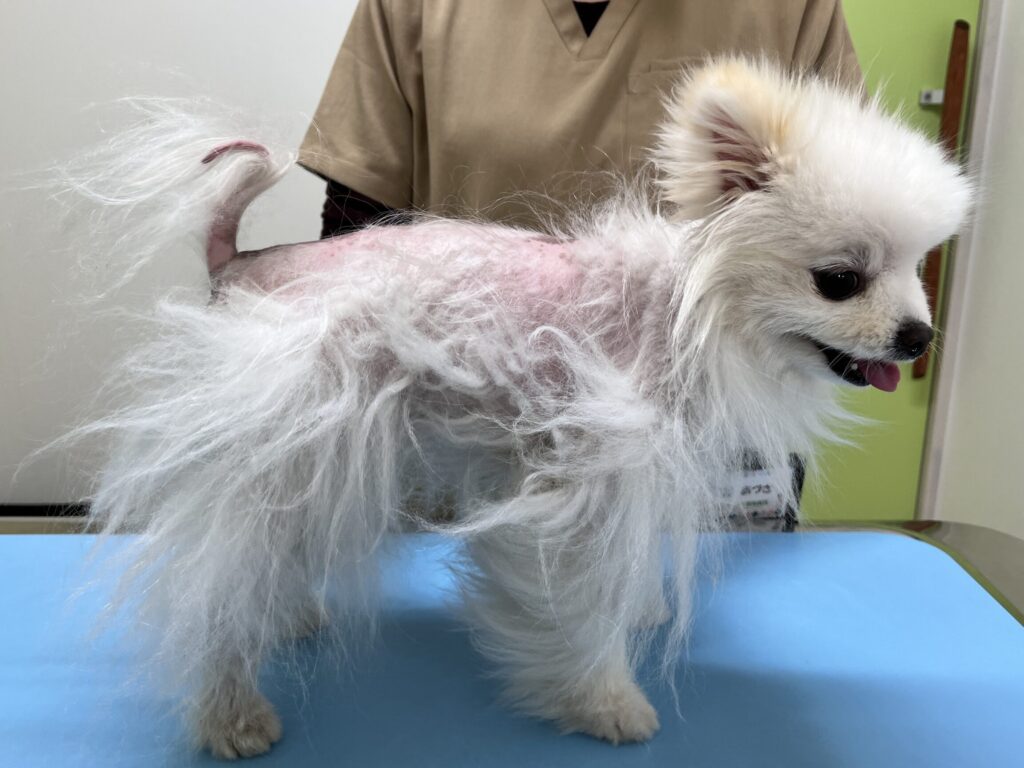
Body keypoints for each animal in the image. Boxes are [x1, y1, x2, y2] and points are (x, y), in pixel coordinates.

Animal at [63, 59, 972, 758]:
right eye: (840, 280)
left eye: (917, 269)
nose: (919, 336)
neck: (683, 314)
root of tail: (241, 263)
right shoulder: (588, 478)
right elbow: (583, 603)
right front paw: (605, 701)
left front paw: (640, 610)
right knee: (212, 585)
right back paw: (232, 713)